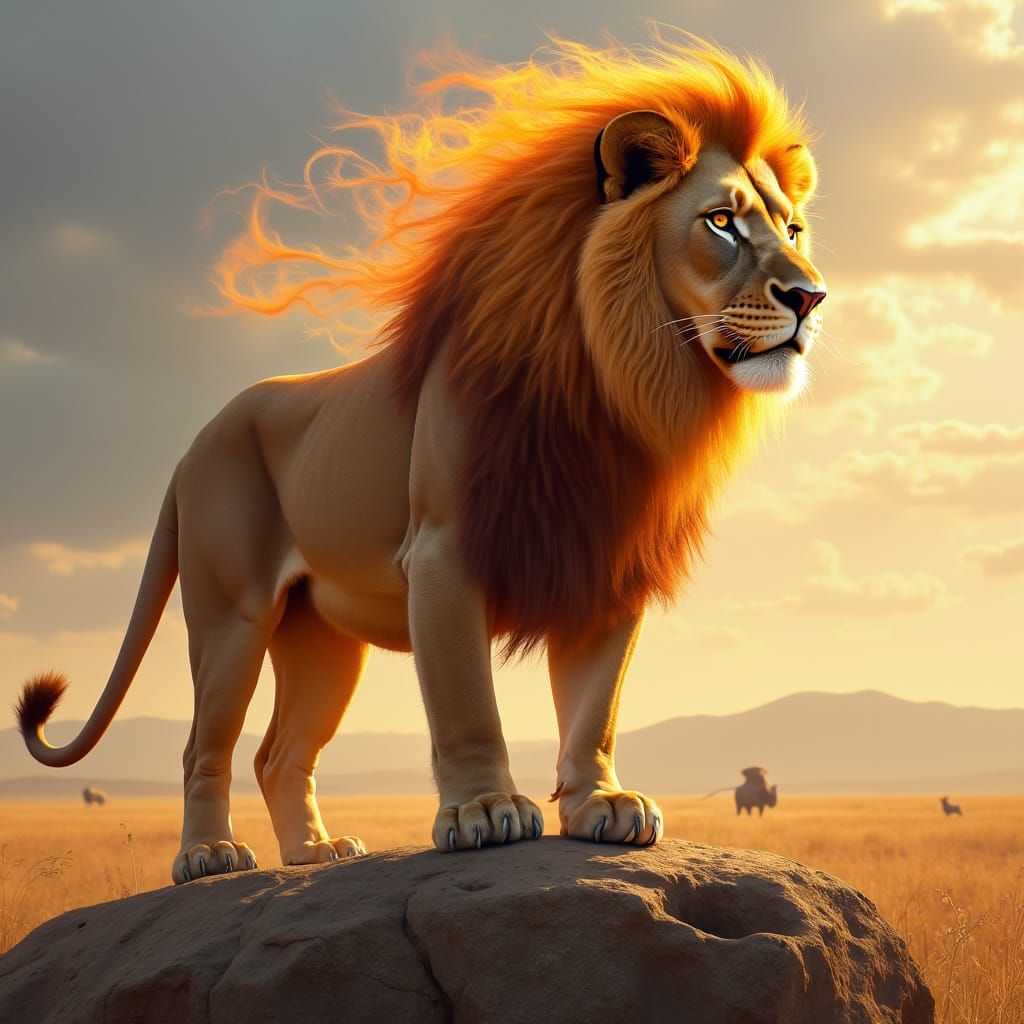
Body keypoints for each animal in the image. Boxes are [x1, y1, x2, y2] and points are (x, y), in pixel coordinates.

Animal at [16, 33, 825, 883]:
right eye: (721, 223)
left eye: (793, 230)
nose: (811, 297)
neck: (615, 385)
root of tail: (193, 443)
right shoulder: (442, 553)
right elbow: (466, 699)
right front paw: (487, 812)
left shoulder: (604, 561)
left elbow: (594, 707)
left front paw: (600, 804)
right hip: (231, 609)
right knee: (204, 746)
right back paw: (209, 855)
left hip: (321, 636)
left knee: (279, 753)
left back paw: (315, 851)